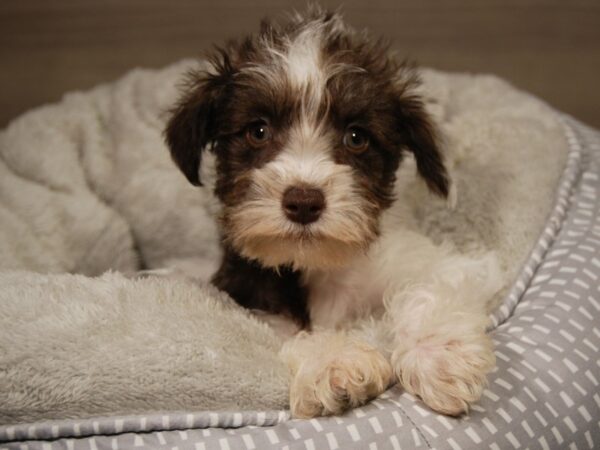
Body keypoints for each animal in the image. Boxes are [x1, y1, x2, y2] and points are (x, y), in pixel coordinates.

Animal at [164, 6, 502, 418]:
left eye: (356, 137)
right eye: (258, 131)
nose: (303, 201)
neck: (322, 264)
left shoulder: (443, 264)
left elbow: (430, 286)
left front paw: (439, 355)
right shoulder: (248, 299)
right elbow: (286, 334)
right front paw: (333, 361)